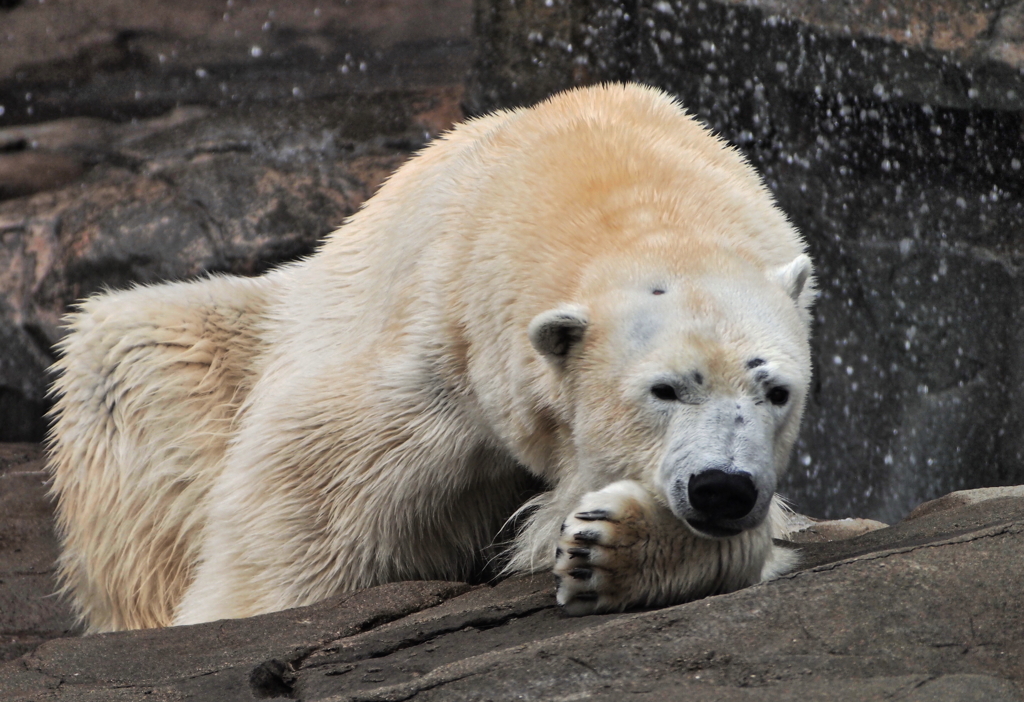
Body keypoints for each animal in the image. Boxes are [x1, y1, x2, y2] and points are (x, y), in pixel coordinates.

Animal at [48, 82, 811, 634]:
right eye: (663, 389)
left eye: (778, 392)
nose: (722, 486)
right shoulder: (433, 350)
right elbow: (302, 511)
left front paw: (612, 546)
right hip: (232, 343)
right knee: (133, 370)